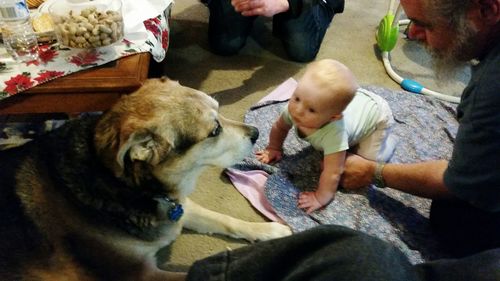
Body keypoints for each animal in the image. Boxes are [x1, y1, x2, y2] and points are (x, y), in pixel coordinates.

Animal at [0, 77, 292, 280]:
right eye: (214, 131)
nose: (256, 133)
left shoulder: (178, 208)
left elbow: (225, 219)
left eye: (219, 110)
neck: (130, 188)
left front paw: (269, 231)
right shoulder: (139, 274)